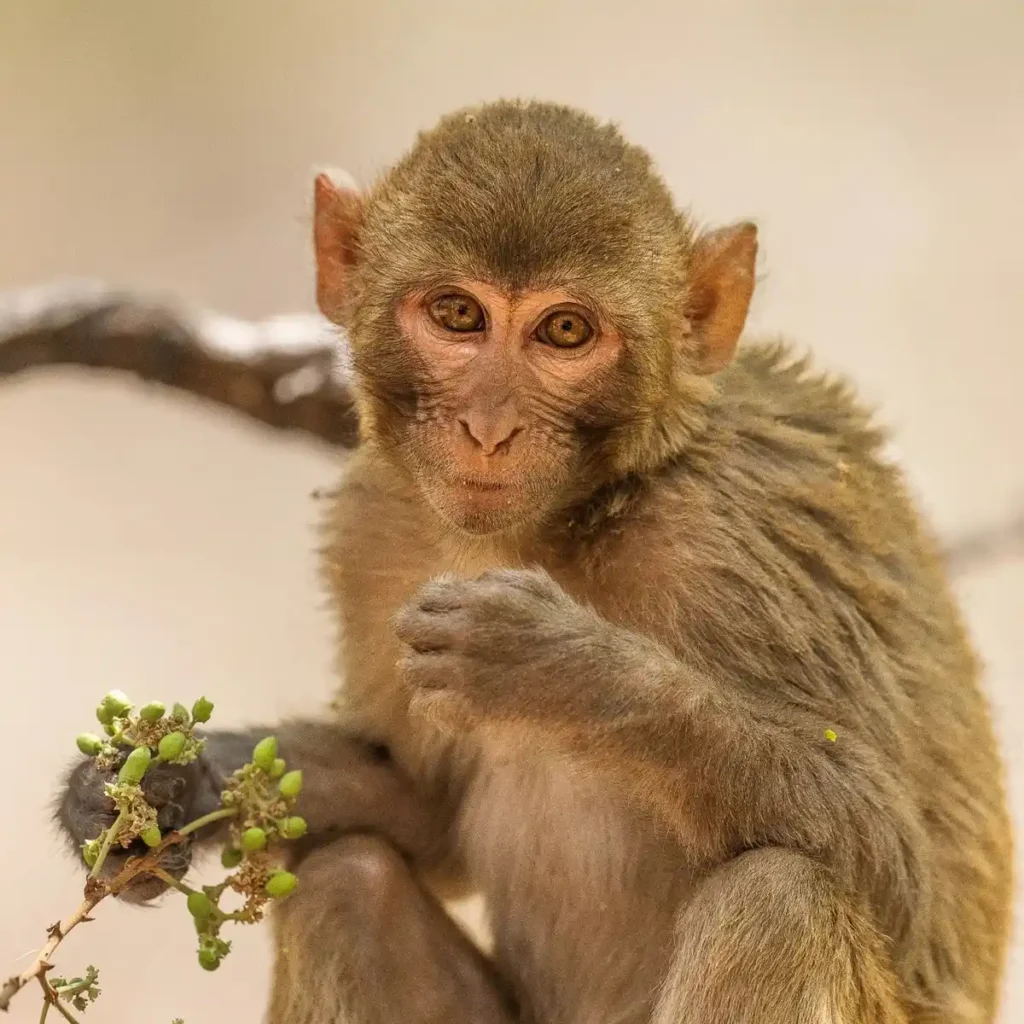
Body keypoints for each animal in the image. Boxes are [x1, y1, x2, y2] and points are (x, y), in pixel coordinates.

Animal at [53, 99, 1013, 1024]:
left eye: (565, 331)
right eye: (457, 315)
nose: (488, 427)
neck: (567, 521)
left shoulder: (737, 535)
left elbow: (902, 875)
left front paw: (559, 670)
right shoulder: (373, 532)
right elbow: (429, 822)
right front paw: (164, 783)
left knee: (783, 896)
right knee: (346, 885)